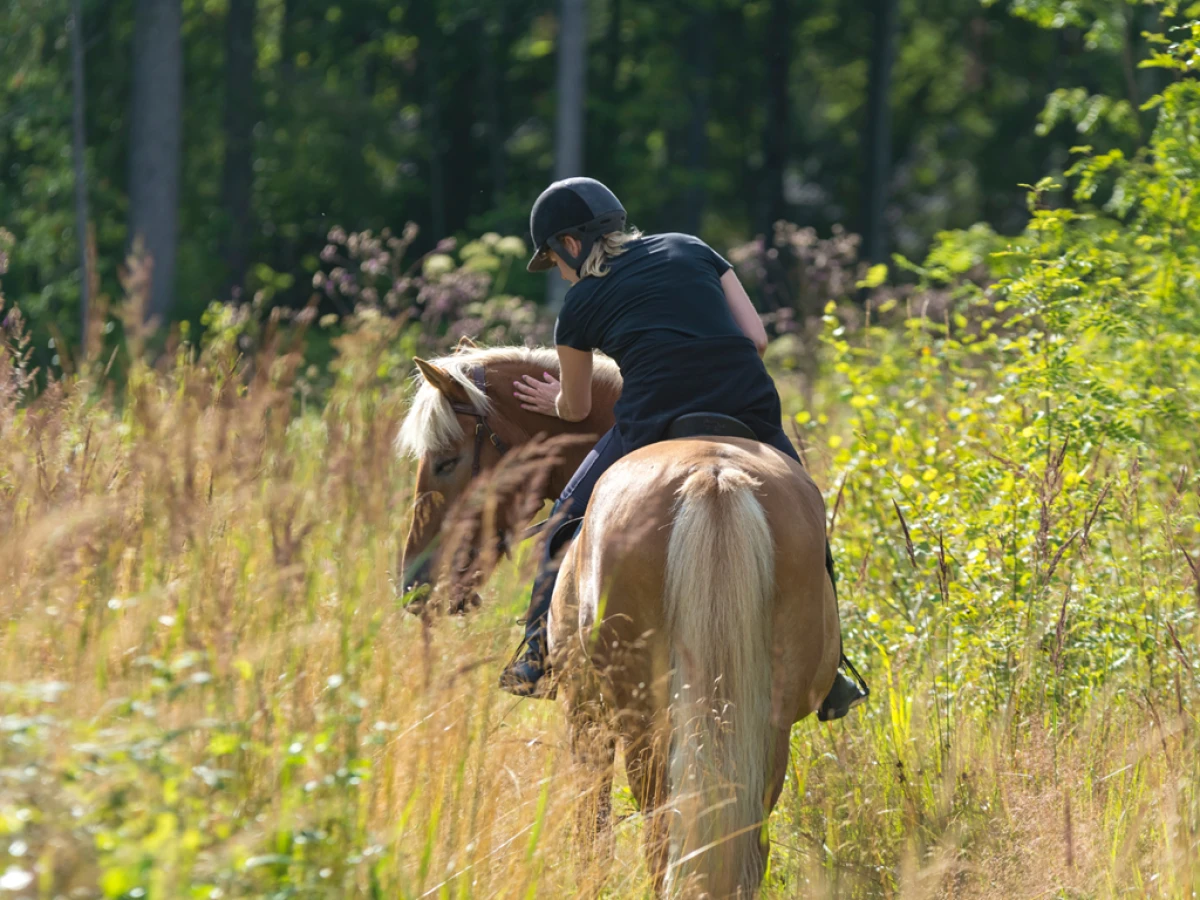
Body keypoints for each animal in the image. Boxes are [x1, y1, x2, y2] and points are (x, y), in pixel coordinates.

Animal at [398, 343, 840, 897]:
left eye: (446, 462)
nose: (414, 583)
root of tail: (713, 478)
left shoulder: (583, 713)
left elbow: (593, 831)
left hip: (643, 723)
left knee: (660, 837)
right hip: (765, 724)